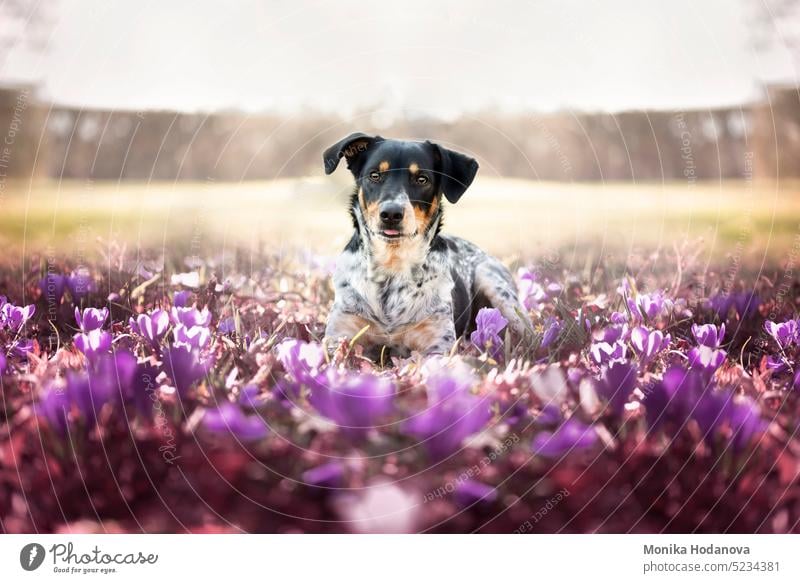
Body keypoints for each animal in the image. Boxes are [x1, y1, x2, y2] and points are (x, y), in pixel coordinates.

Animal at [322, 133, 528, 360]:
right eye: (374, 175)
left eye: (422, 179)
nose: (391, 214)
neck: (392, 268)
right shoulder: (339, 334)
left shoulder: (438, 344)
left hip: (496, 286)